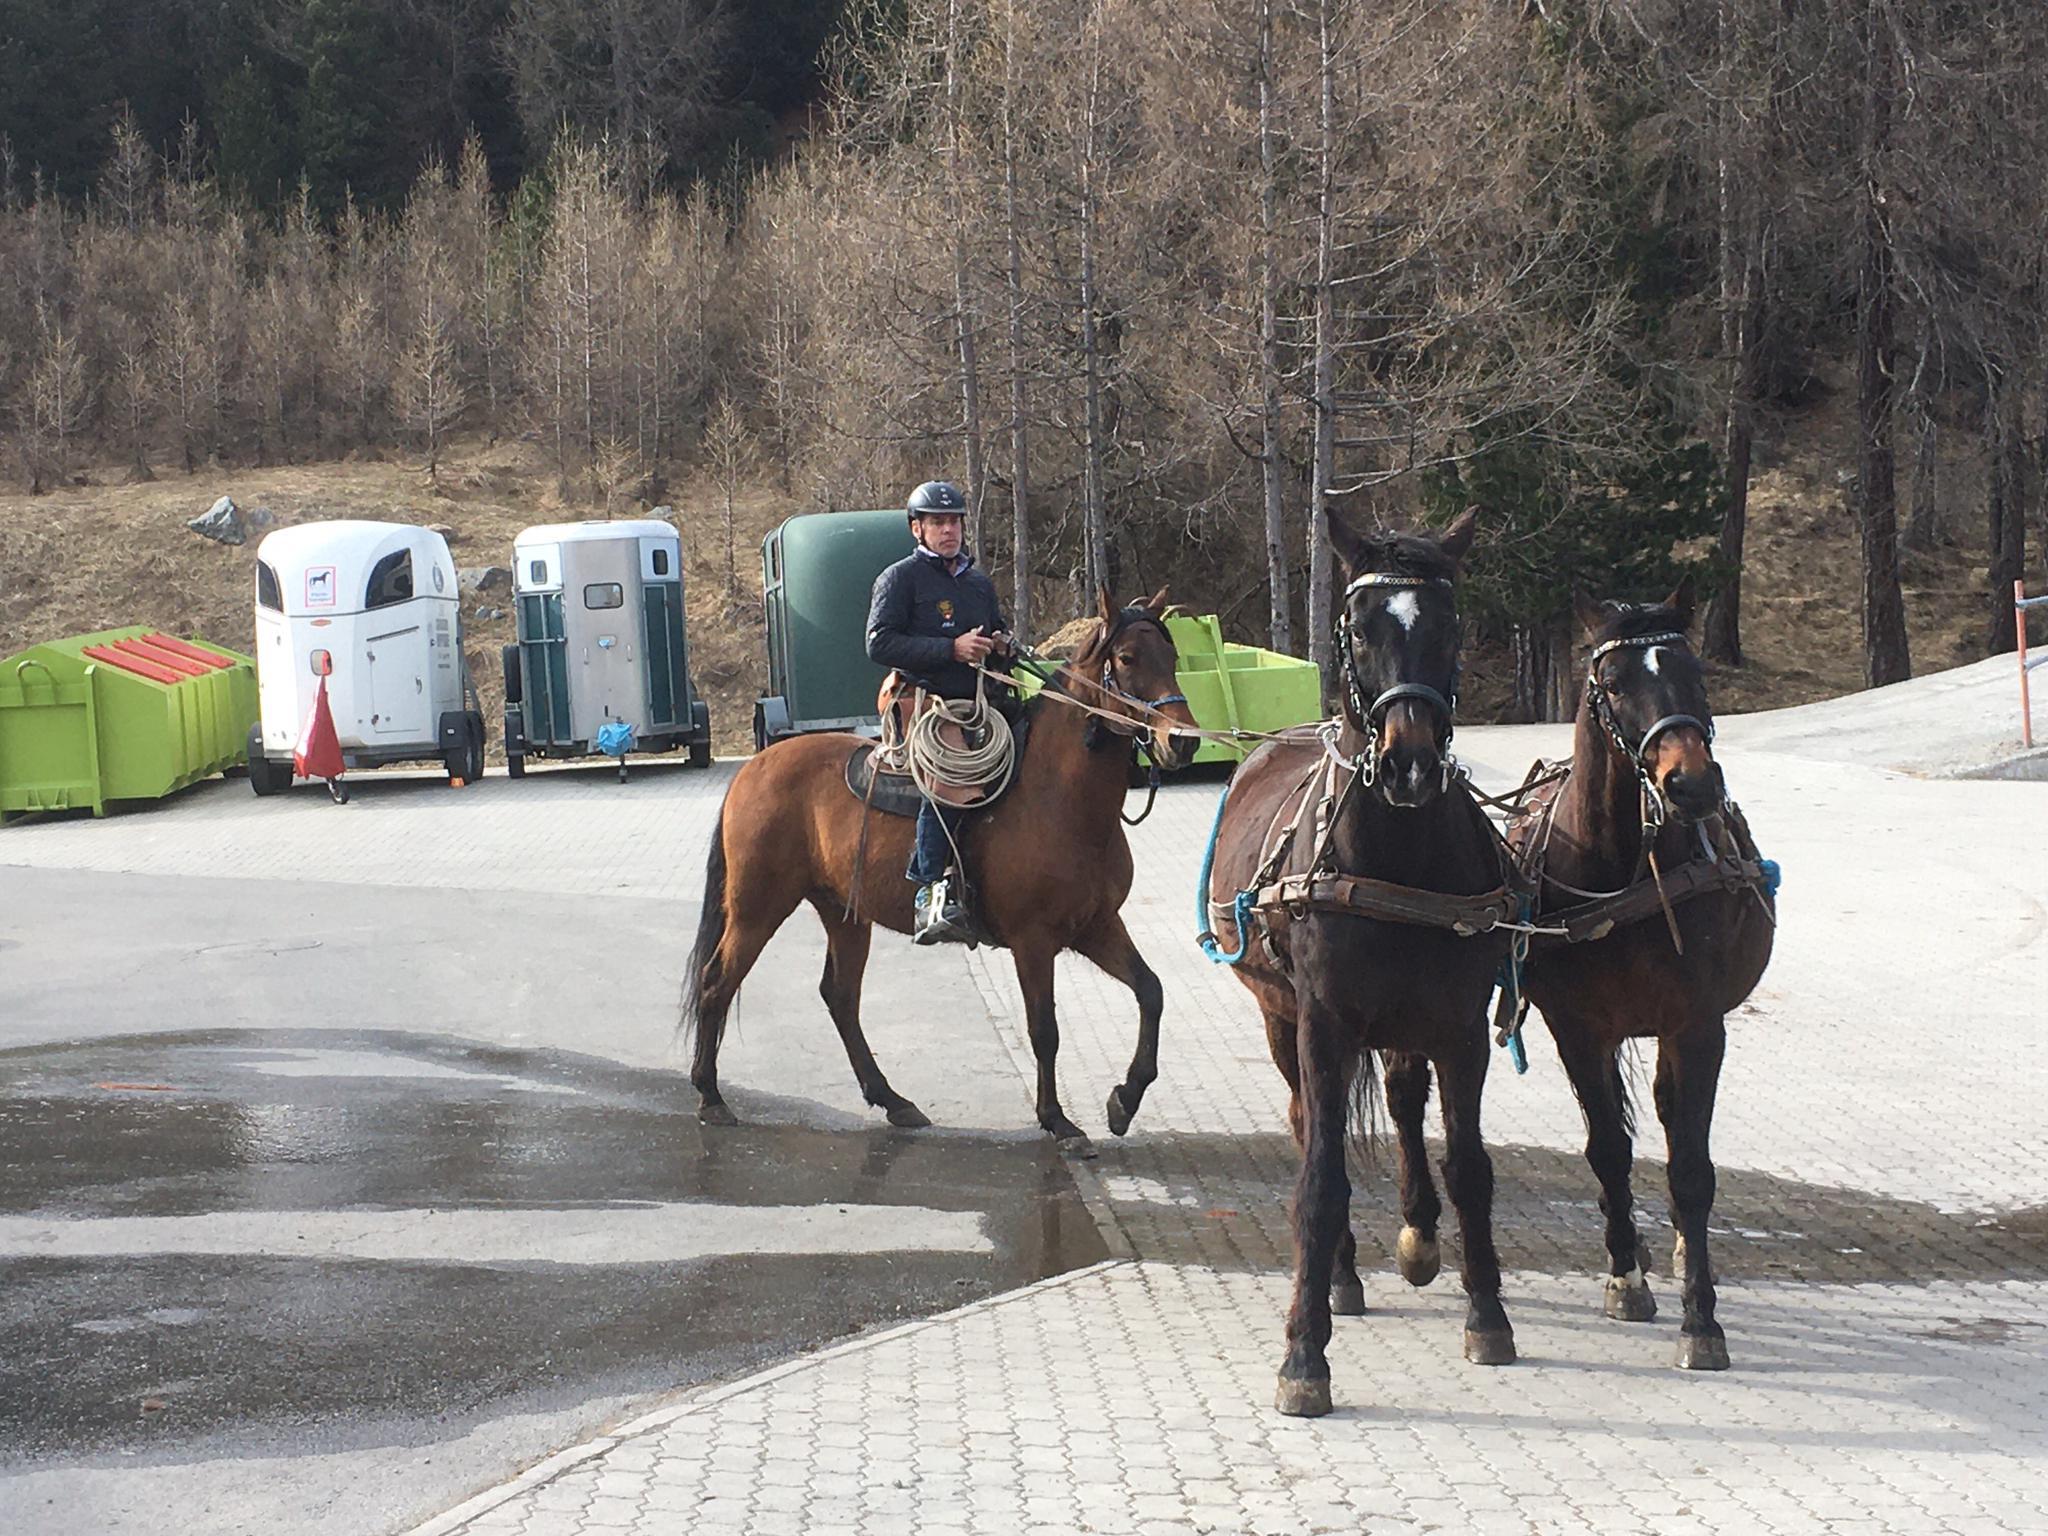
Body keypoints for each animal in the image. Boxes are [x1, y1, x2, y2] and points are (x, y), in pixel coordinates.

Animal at [684, 593, 1196, 1146]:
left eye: (1172, 658)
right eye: (1126, 658)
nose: (1182, 742)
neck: (1060, 799)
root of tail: (752, 770)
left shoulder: (1097, 926)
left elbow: (1151, 991)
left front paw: (1125, 1099)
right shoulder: (1033, 941)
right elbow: (1045, 1030)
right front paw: (1057, 1120)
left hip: (844, 913)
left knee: (840, 996)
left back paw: (892, 1101)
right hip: (757, 908)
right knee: (718, 981)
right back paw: (710, 1095)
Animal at [1196, 514, 1523, 1417]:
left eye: (1447, 625)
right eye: (1361, 628)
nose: (1410, 760)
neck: (1398, 853)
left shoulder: (1459, 1027)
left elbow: (1470, 1167)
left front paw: (1488, 1314)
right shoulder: (1323, 1023)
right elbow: (1322, 1175)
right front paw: (1305, 1351)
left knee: (1406, 1102)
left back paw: (1416, 1233)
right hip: (1283, 1020)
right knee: (1313, 1124)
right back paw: (1342, 1274)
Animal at [1507, 589, 1777, 1368]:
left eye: (1694, 672)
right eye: (1616, 683)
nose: (1690, 783)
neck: (1614, 872)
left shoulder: (1697, 1026)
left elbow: (1691, 1166)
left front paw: (1702, 1319)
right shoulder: (1577, 1030)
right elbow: (1607, 1149)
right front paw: (1626, 1275)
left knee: (1671, 1119)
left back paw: (1687, 1250)